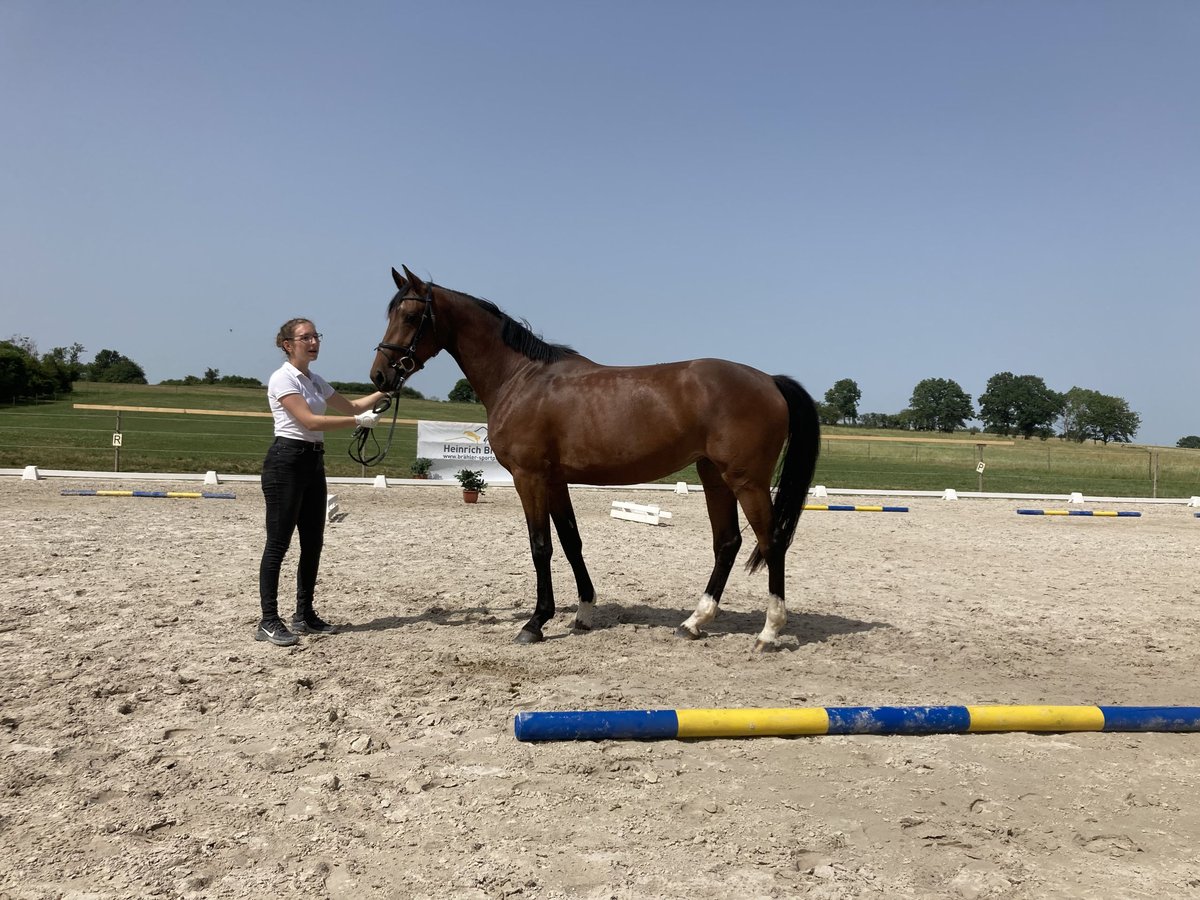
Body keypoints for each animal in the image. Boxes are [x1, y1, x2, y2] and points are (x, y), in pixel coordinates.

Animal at [369, 264, 820, 652]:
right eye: (390, 313)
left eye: (412, 316)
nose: (380, 376)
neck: (521, 378)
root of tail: (770, 381)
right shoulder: (554, 480)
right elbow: (571, 541)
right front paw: (583, 612)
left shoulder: (529, 477)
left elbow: (540, 546)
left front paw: (535, 623)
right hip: (714, 476)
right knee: (727, 542)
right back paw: (695, 622)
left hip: (746, 480)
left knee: (772, 541)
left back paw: (769, 632)